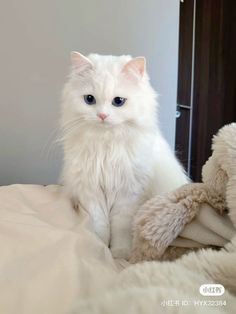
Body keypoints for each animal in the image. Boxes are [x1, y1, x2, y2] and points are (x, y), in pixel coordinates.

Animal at [60, 52, 188, 258]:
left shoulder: (128, 194)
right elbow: (100, 227)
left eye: (118, 101)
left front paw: (120, 253)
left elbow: (120, 228)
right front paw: (101, 248)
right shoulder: (91, 192)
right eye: (89, 99)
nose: (102, 116)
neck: (106, 145)